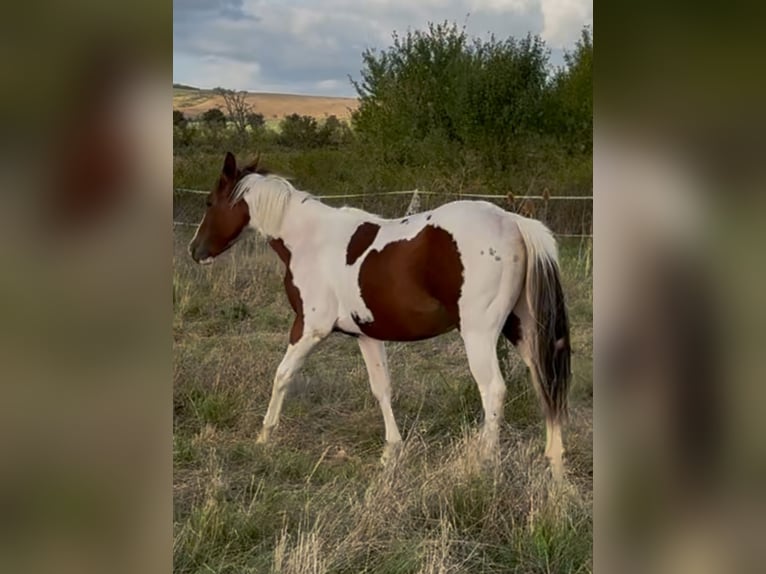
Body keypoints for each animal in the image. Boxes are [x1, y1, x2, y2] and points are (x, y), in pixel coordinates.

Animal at [189, 152, 571, 480]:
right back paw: (555, 466)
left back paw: (483, 464)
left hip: (479, 335)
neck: (309, 240)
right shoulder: (368, 336)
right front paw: (391, 451)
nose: (195, 251)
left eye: (209, 202)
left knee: (493, 391)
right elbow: (382, 389)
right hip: (522, 331)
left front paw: (264, 436)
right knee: (545, 383)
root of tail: (514, 222)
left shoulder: (308, 328)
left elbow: (282, 375)